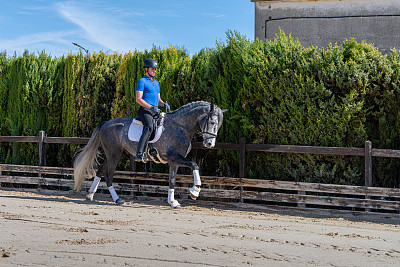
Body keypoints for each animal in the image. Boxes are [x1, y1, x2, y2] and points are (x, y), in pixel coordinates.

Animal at [73, 101, 227, 208]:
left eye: (218, 125)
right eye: (212, 121)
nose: (210, 144)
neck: (180, 127)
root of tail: (105, 123)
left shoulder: (174, 161)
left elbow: (172, 180)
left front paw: (172, 202)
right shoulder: (174, 157)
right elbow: (195, 165)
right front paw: (195, 191)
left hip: (115, 153)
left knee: (101, 170)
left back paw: (90, 195)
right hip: (114, 154)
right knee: (109, 174)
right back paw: (117, 199)